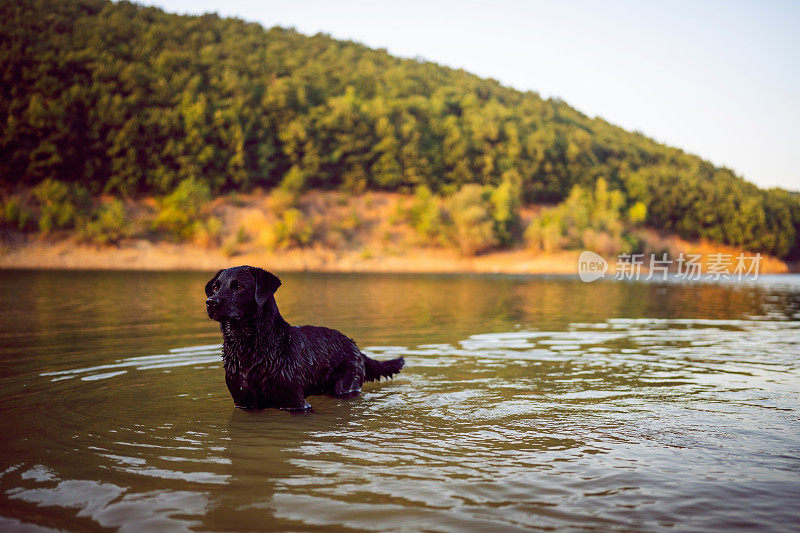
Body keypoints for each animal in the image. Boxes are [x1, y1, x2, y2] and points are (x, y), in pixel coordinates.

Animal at [206, 264, 406, 410]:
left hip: (346, 386)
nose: (210, 302)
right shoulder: (243, 402)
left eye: (239, 287)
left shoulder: (295, 402)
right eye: (215, 287)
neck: (249, 347)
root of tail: (355, 345)